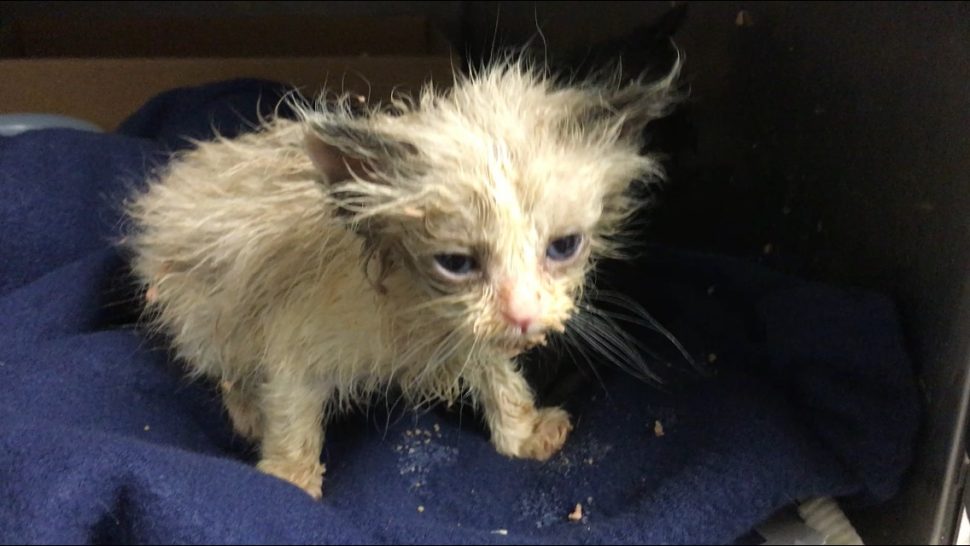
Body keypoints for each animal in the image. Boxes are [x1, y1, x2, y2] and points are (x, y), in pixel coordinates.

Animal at [123, 54, 680, 498]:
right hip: (200, 306)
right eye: (455, 263)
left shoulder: (469, 331)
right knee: (222, 360)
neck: (418, 308)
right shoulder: (293, 337)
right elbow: (291, 414)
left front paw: (523, 434)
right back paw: (246, 410)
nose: (523, 316)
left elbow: (501, 378)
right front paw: (290, 481)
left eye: (564, 247)